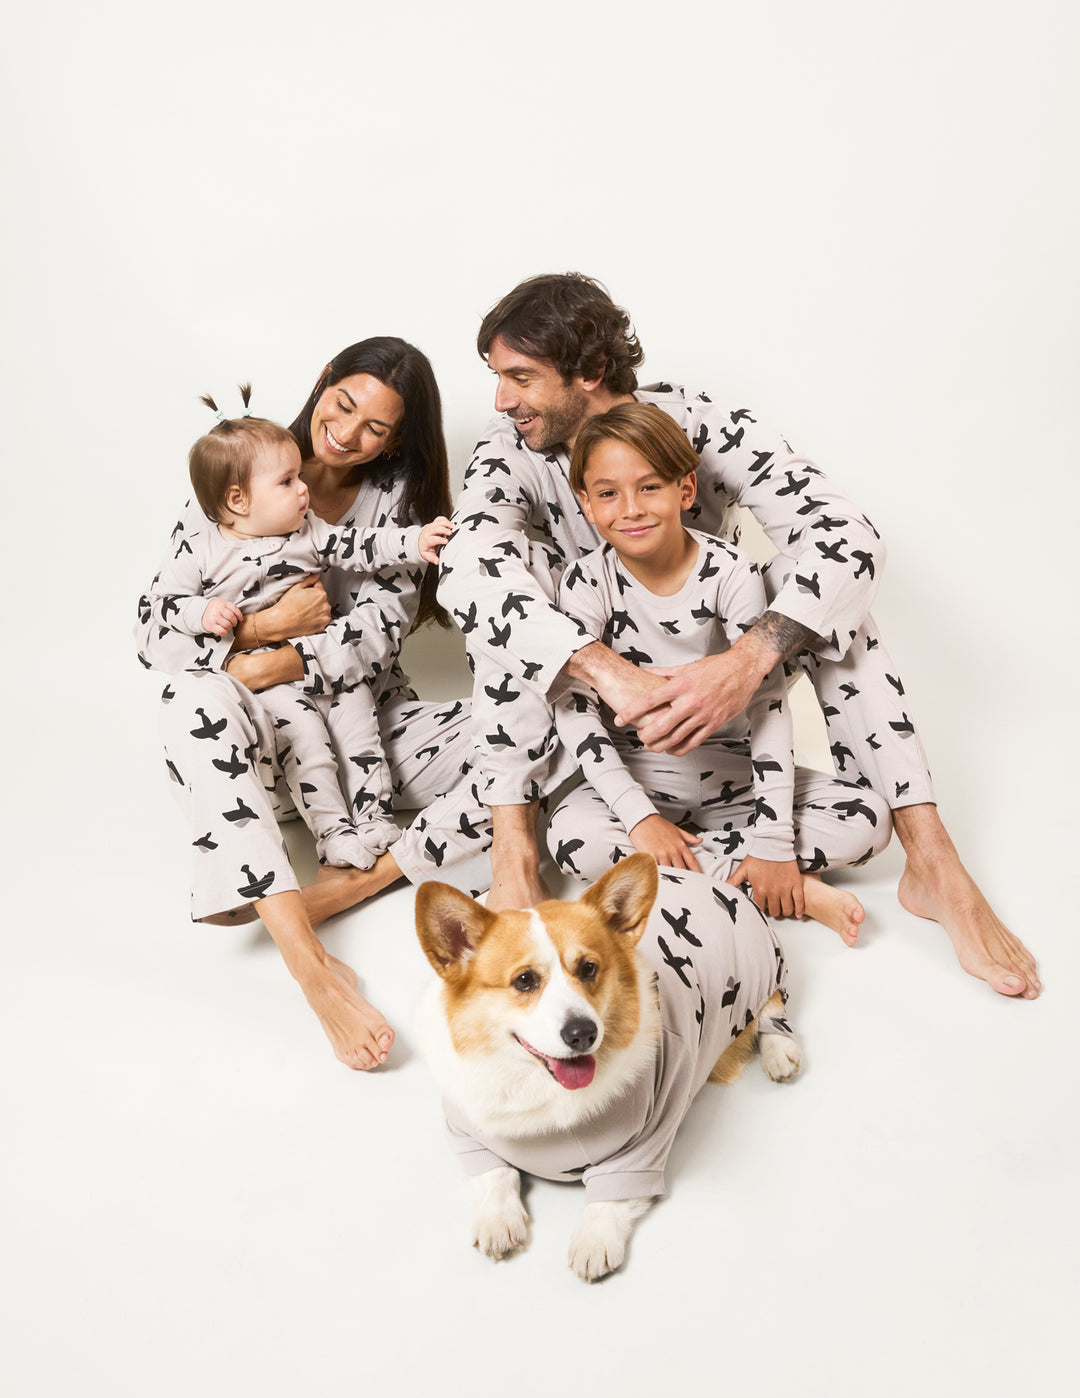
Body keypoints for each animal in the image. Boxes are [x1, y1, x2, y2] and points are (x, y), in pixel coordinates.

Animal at [416, 844, 793, 1280]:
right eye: (525, 980)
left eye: (588, 968)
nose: (582, 1033)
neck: (537, 1091)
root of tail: (725, 888)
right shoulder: (465, 1132)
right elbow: (495, 1174)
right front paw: (497, 1223)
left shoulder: (643, 1149)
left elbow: (607, 1200)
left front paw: (593, 1245)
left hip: (762, 973)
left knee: (774, 1009)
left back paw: (781, 1055)